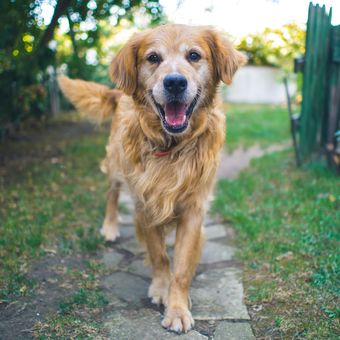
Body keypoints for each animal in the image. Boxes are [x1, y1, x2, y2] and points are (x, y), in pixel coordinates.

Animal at [57, 25, 244, 334]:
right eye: (153, 58)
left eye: (194, 56)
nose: (175, 83)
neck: (173, 147)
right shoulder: (146, 204)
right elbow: (159, 255)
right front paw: (160, 288)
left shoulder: (193, 209)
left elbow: (181, 267)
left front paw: (177, 307)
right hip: (116, 166)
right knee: (111, 194)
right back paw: (110, 227)